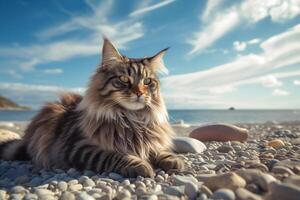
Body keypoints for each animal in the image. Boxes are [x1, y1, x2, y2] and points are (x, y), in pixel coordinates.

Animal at [0, 38, 184, 177]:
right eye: (124, 79)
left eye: (147, 82)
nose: (139, 93)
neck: (132, 119)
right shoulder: (78, 147)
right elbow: (114, 155)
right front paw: (141, 165)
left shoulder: (152, 139)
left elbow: (159, 149)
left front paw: (173, 159)